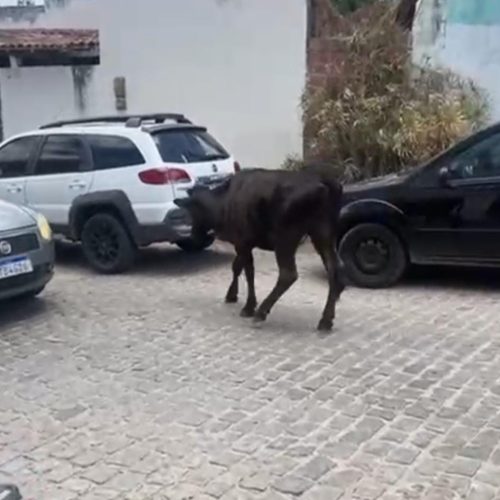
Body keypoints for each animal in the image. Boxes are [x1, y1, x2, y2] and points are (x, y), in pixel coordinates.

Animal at [175, 165, 344, 332]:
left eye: (191, 211)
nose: (193, 236)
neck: (223, 204)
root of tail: (325, 183)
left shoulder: (242, 242)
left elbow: (248, 272)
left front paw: (249, 306)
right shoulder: (243, 243)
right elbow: (237, 266)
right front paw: (232, 294)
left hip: (286, 237)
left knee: (288, 274)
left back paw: (261, 313)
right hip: (323, 234)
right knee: (333, 267)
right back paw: (326, 319)